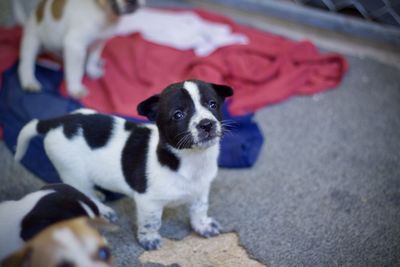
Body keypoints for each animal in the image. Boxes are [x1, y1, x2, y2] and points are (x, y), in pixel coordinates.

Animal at [14, 80, 234, 251]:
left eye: (212, 104)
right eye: (178, 114)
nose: (207, 124)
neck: (189, 159)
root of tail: (56, 122)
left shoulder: (201, 190)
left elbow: (199, 210)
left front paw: (203, 226)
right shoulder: (149, 202)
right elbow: (152, 222)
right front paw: (149, 239)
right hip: (73, 173)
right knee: (85, 192)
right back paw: (103, 209)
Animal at [16, 0, 145, 98]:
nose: (133, 1)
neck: (105, 13)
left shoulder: (98, 43)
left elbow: (92, 59)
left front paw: (92, 70)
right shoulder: (74, 45)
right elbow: (75, 70)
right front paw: (75, 88)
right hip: (32, 41)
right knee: (26, 64)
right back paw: (29, 81)